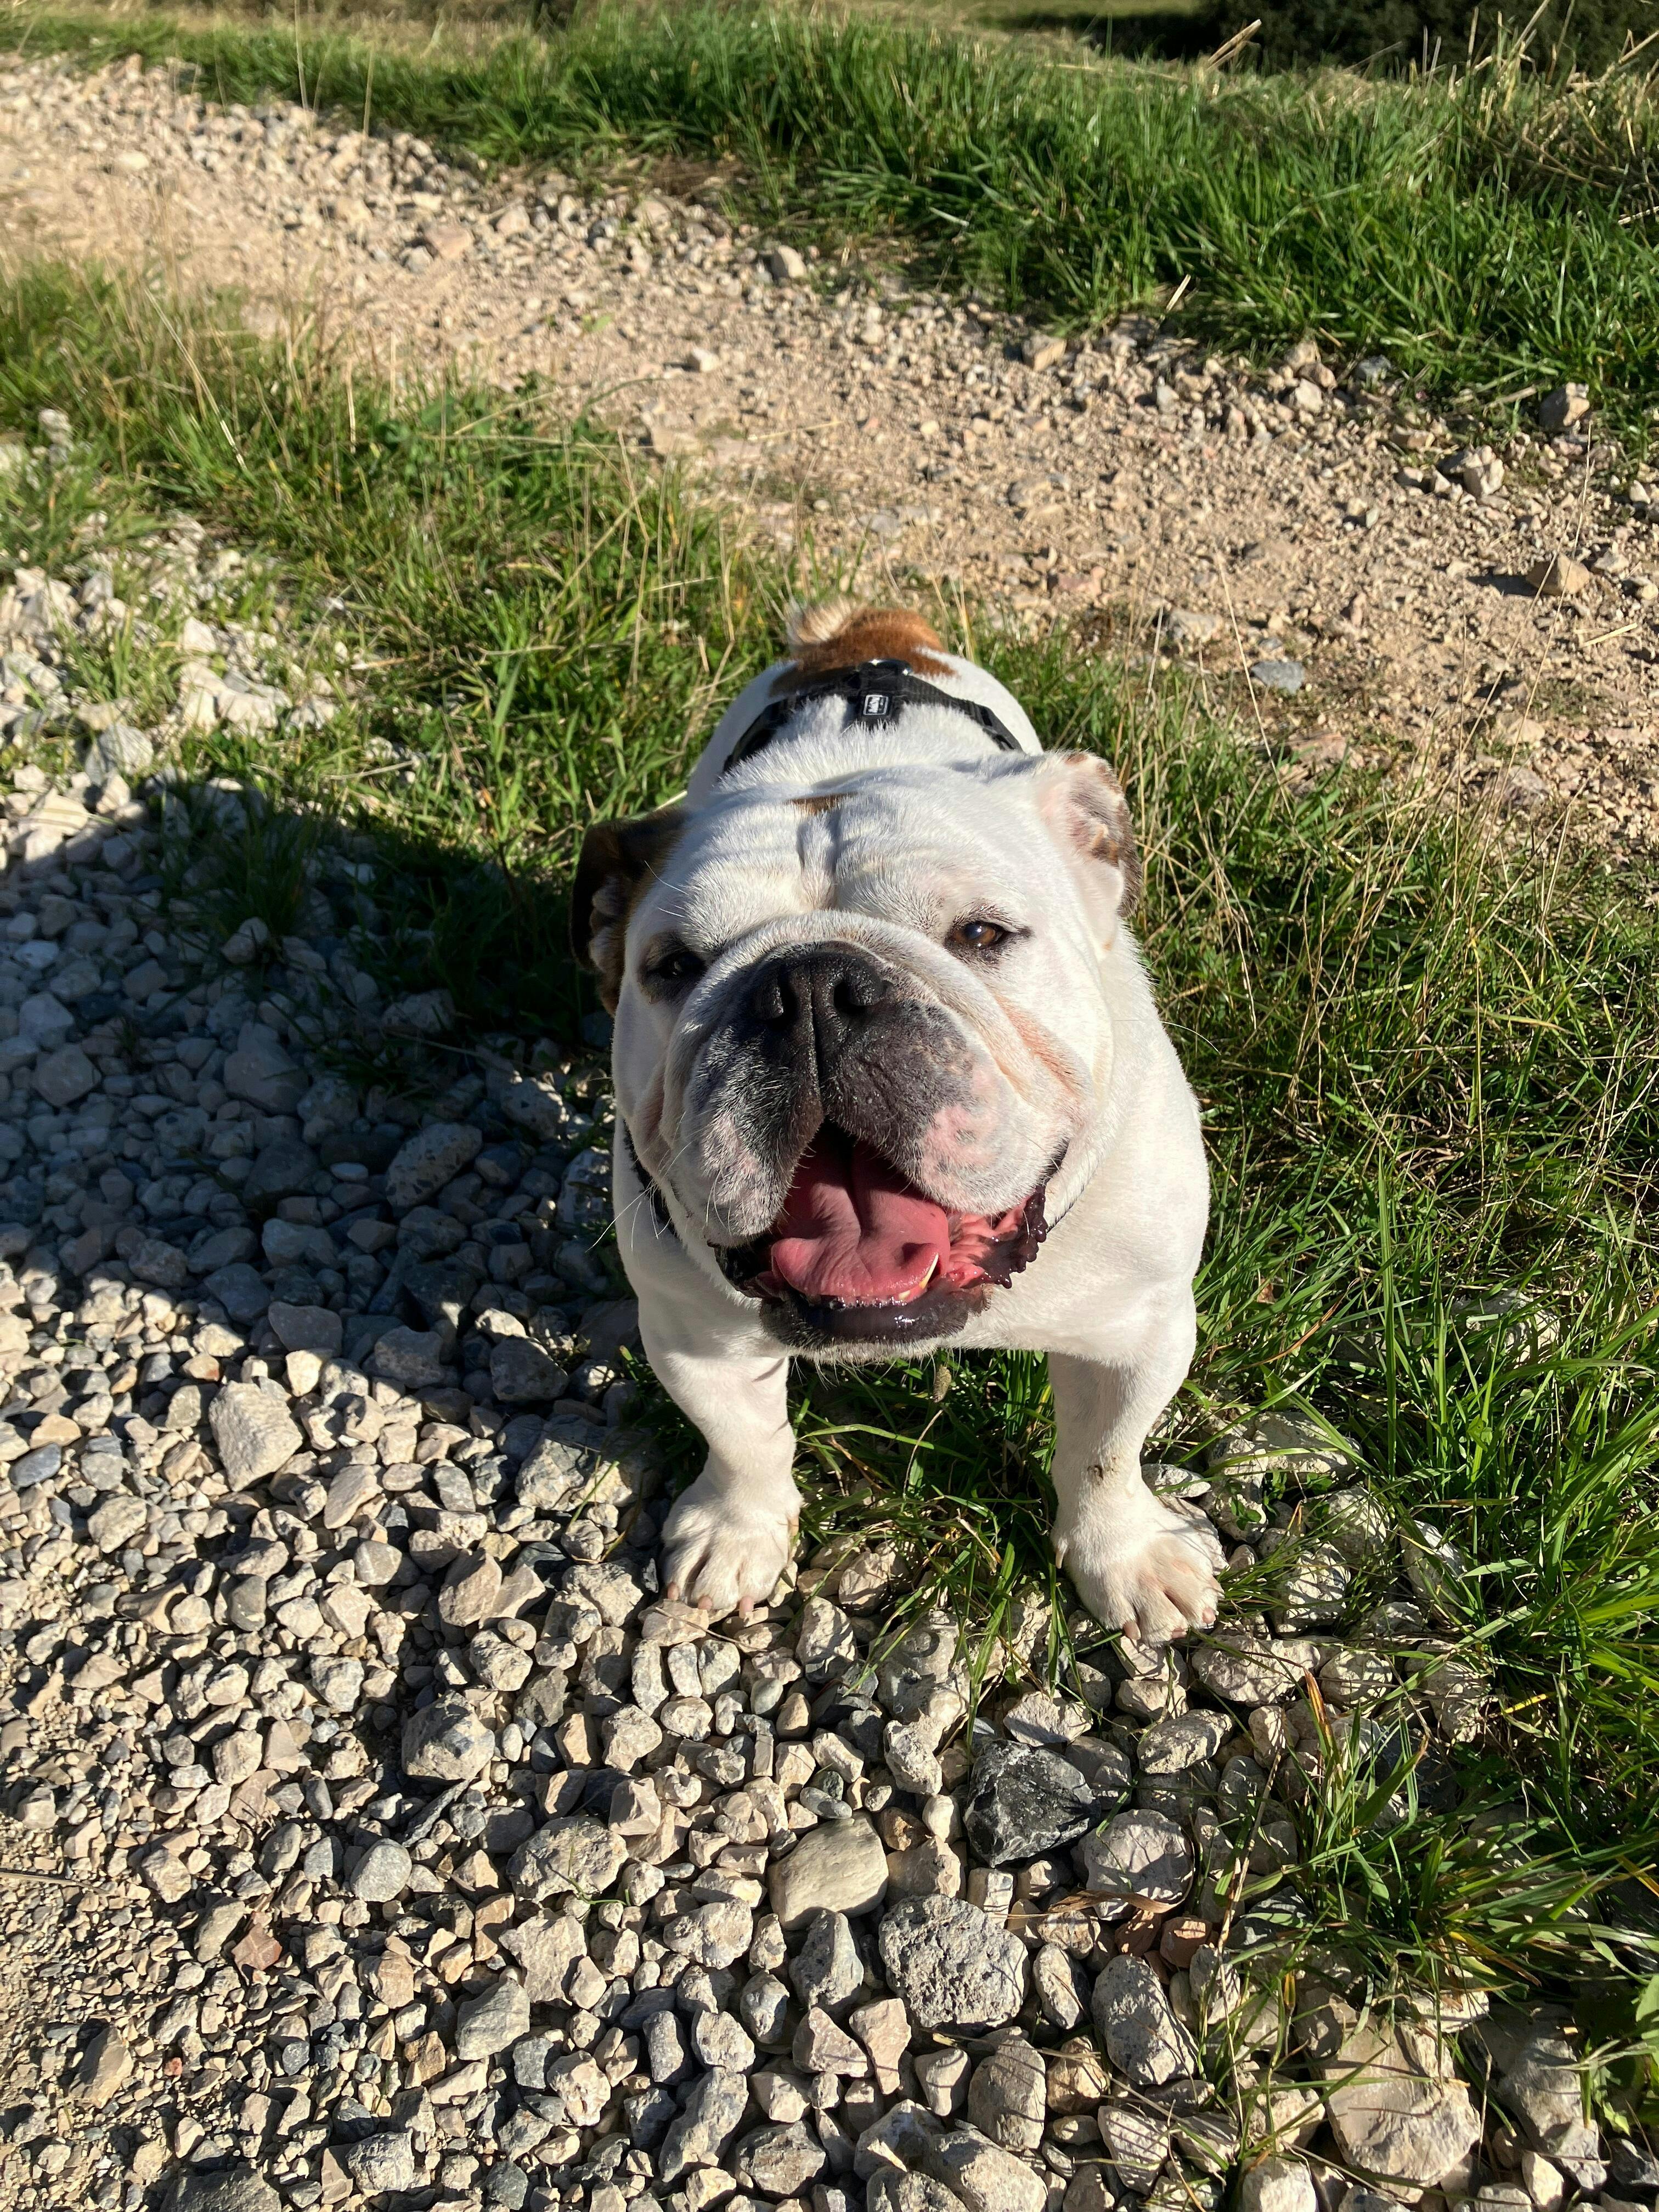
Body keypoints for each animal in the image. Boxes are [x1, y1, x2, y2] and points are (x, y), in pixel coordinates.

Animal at [573, 600, 1222, 1641]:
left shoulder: (1138, 1331)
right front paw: (738, 1533)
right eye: (673, 966)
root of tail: (870, 631)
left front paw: (1125, 1557)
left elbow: (1105, 1455)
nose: (806, 988)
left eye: (983, 935)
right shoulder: (691, 1334)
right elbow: (743, 1444)